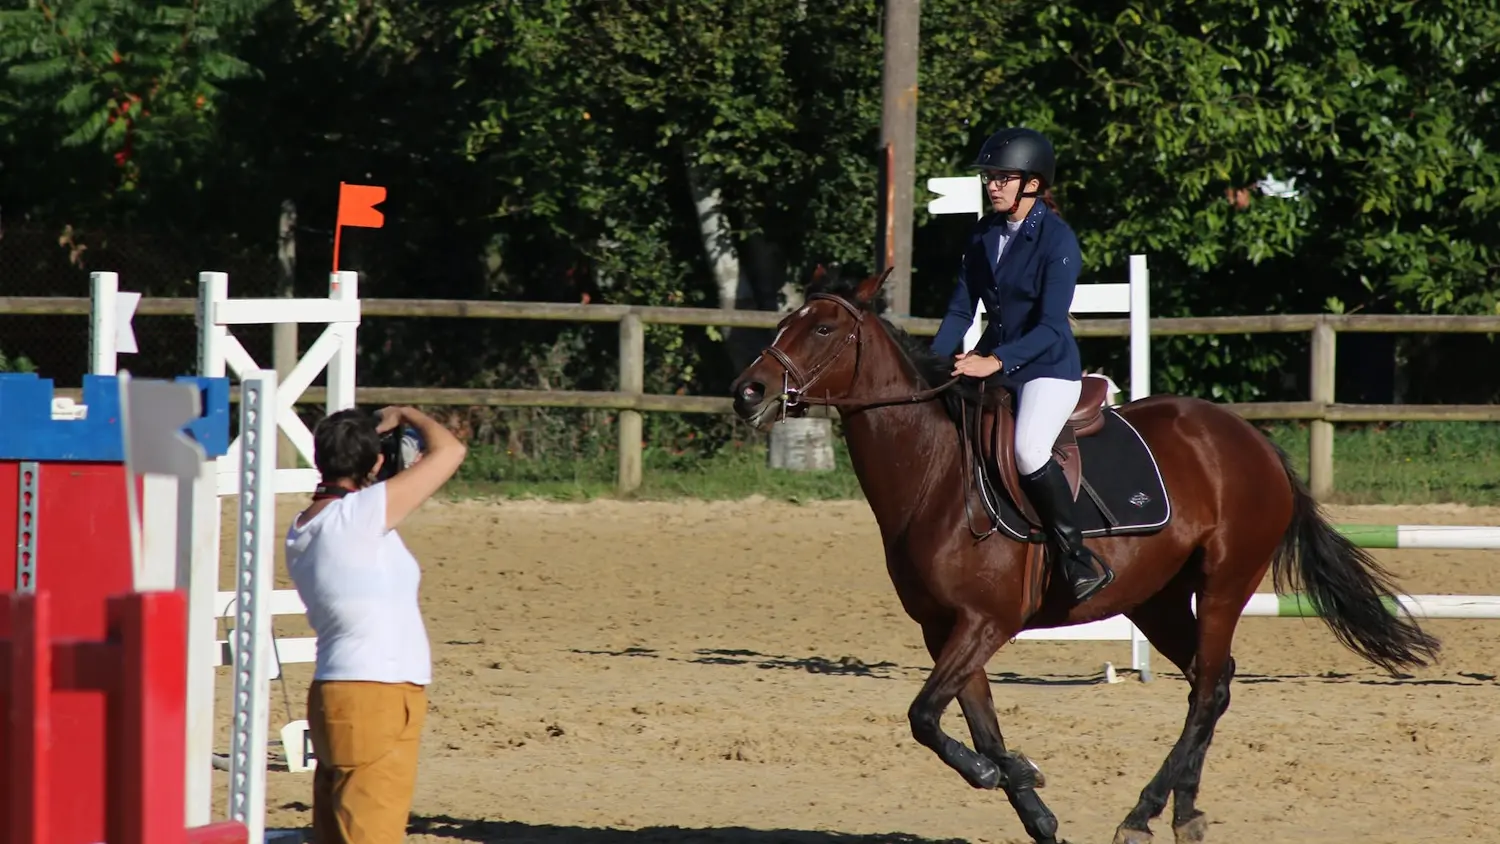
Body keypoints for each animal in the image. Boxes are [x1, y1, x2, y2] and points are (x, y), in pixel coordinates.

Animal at [726, 269, 1440, 844]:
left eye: (821, 328)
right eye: (785, 323)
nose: (747, 391)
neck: (934, 475)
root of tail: (1250, 439)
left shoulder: (984, 623)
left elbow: (924, 716)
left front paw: (1007, 773)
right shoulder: (945, 630)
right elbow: (971, 726)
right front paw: (1031, 803)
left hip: (1223, 584)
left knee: (1209, 687)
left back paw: (1145, 814)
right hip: (1156, 600)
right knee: (1213, 683)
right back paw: (1180, 813)